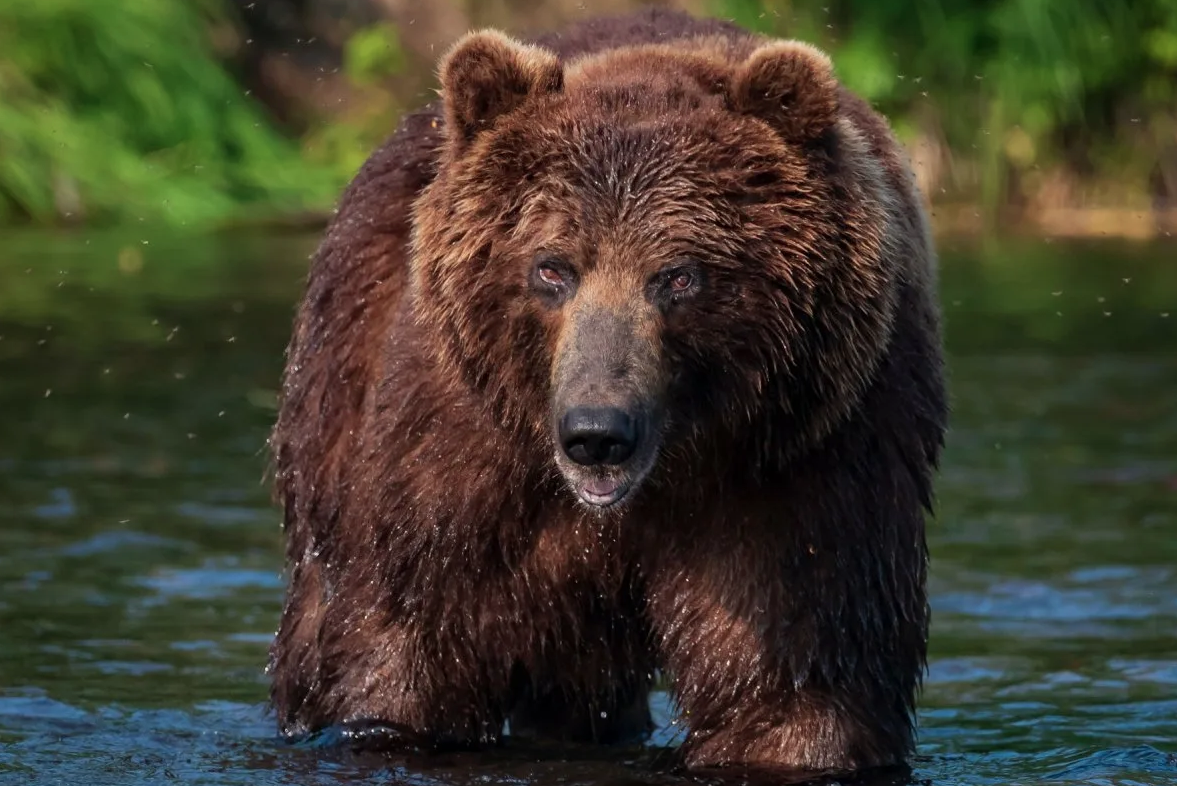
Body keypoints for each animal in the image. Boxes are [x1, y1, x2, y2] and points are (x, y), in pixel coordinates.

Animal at [267, 6, 946, 781]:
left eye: (678, 275)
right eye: (551, 267)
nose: (597, 432)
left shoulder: (803, 455)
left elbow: (797, 670)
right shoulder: (457, 459)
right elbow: (407, 644)